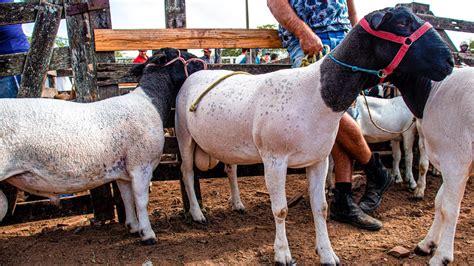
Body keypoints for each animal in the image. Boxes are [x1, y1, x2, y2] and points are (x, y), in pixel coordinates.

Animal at [0, 48, 204, 245]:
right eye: (180, 54)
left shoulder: (123, 171)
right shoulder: (141, 165)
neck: (150, 101)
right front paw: (147, 234)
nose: (203, 62)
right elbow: (141, 201)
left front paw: (133, 227)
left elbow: (127, 198)